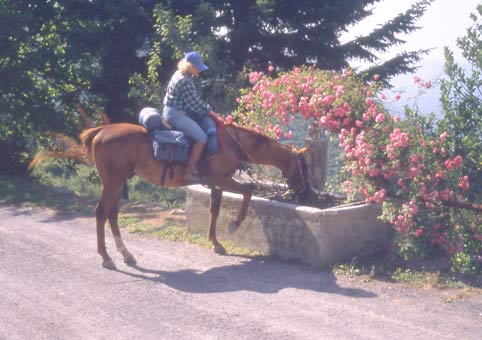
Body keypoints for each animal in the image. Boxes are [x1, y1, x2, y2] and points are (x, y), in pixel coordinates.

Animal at [33, 121, 312, 268]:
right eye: (305, 167)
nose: (306, 193)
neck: (232, 143)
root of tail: (100, 132)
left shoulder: (215, 183)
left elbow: (215, 208)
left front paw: (215, 242)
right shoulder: (221, 179)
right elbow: (248, 192)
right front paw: (234, 225)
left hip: (116, 184)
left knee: (111, 214)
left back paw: (125, 254)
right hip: (112, 183)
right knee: (102, 213)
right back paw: (107, 257)